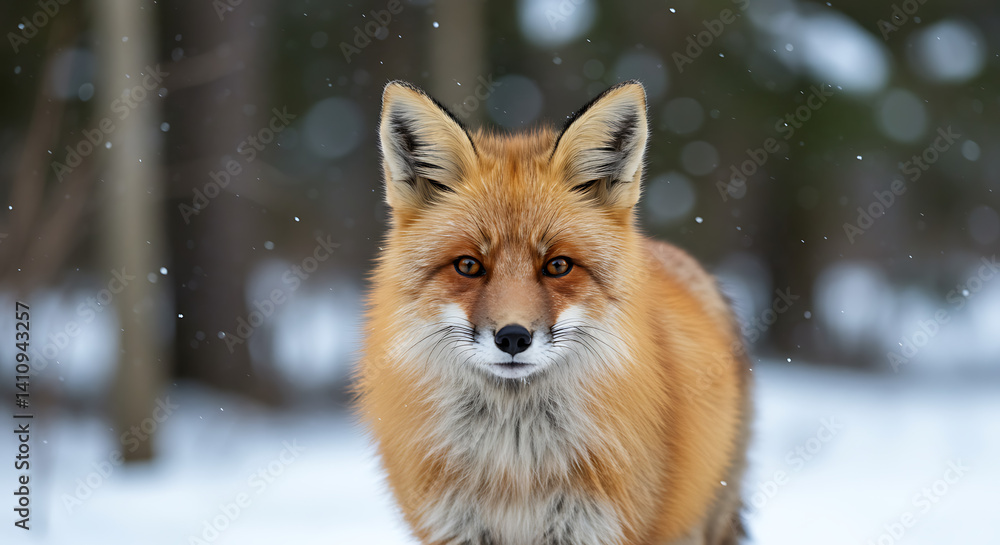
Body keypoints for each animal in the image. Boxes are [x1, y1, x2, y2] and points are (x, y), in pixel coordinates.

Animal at [356, 79, 752, 545]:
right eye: (468, 265)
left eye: (558, 265)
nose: (512, 337)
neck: (514, 465)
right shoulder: (454, 527)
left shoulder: (591, 527)